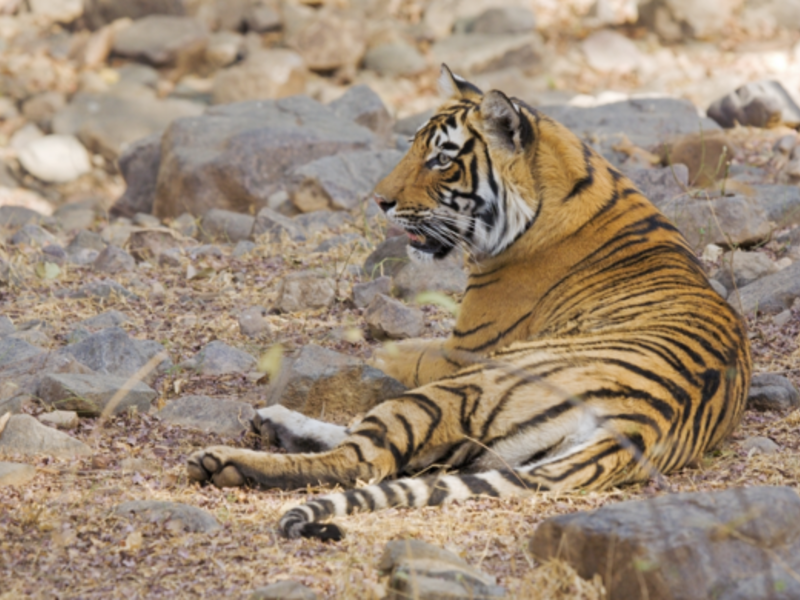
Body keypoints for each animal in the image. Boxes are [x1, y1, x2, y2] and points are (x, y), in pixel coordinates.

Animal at [186, 65, 751, 542]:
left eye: (441, 159)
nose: (380, 201)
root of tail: (640, 424)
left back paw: (225, 461)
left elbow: (390, 352)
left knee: (364, 460)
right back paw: (272, 422)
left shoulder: (461, 350)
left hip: (465, 386)